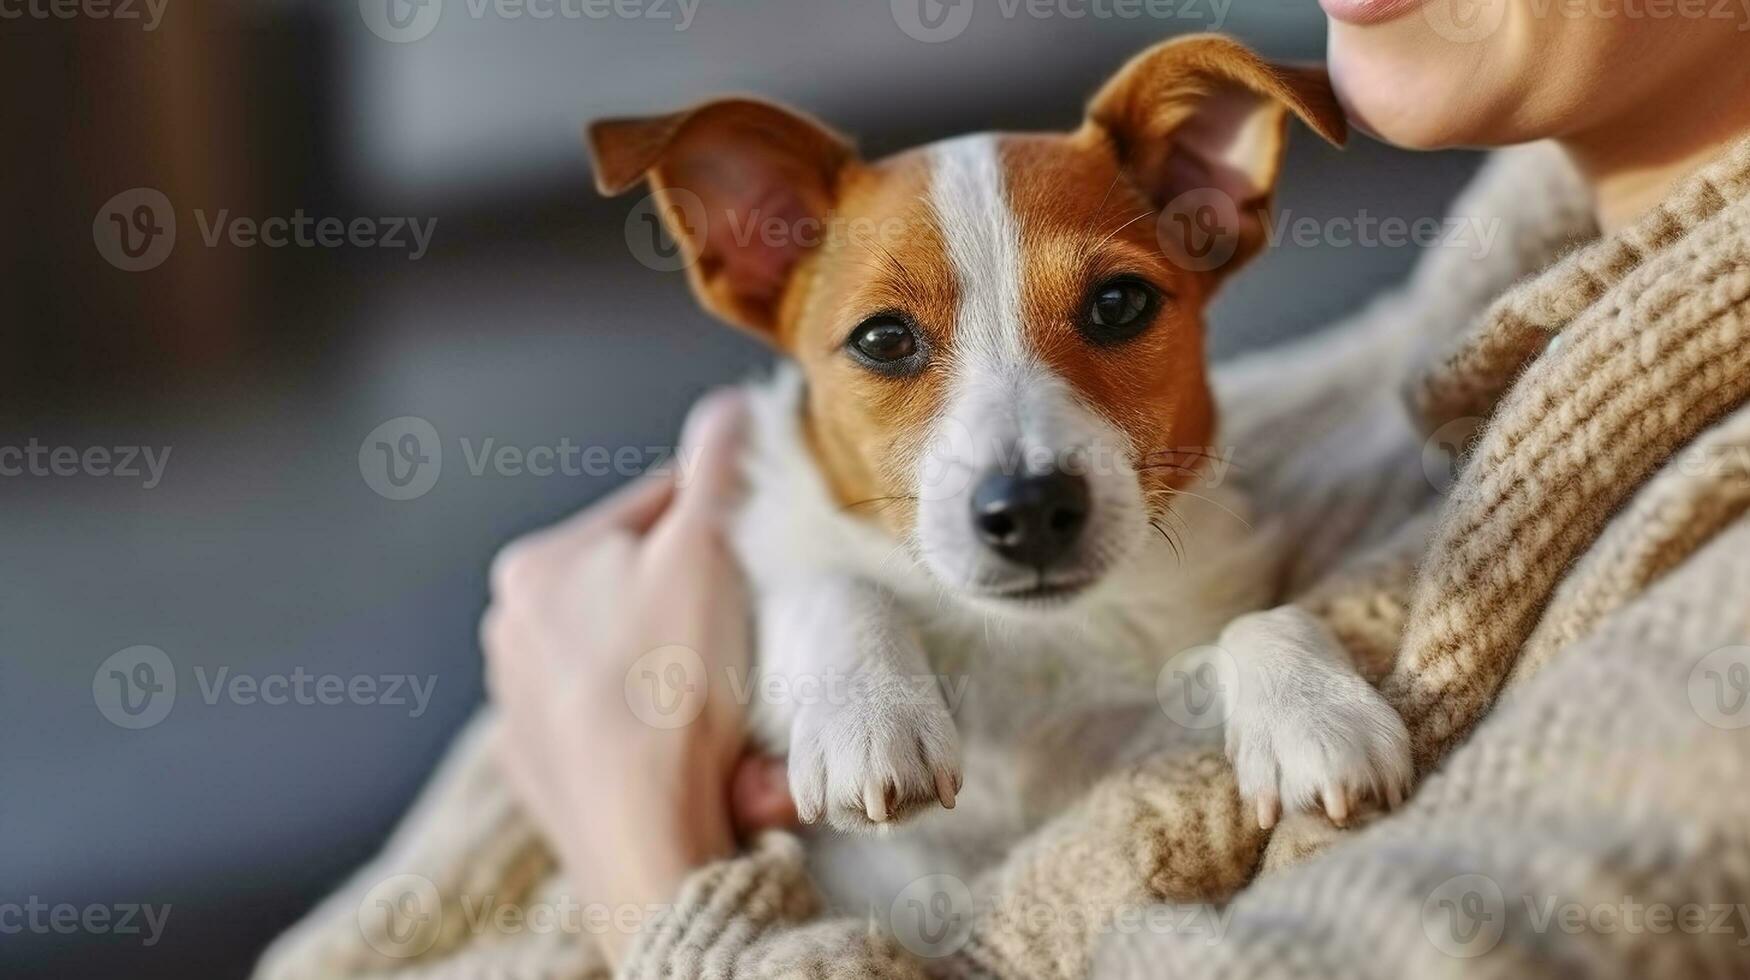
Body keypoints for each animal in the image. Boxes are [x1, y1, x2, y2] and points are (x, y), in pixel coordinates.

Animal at [595, 34, 1414, 910]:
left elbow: (1259, 624)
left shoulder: (1125, 737)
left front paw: (1315, 713)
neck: (1029, 640)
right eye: (883, 338)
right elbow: (833, 585)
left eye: (1119, 303)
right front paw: (870, 715)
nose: (1030, 510)